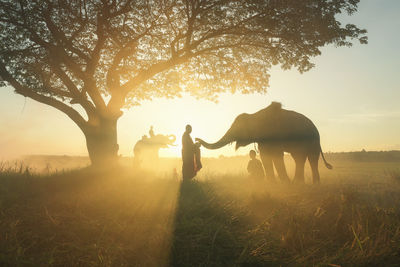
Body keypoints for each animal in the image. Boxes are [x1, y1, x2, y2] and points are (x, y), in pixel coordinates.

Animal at [196, 102, 332, 184]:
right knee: (299, 158)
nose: (197, 139)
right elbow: (264, 156)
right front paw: (272, 185)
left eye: (238, 129)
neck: (256, 115)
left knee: (311, 159)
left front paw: (284, 184)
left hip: (313, 140)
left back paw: (313, 185)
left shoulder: (275, 136)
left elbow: (277, 156)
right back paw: (299, 183)